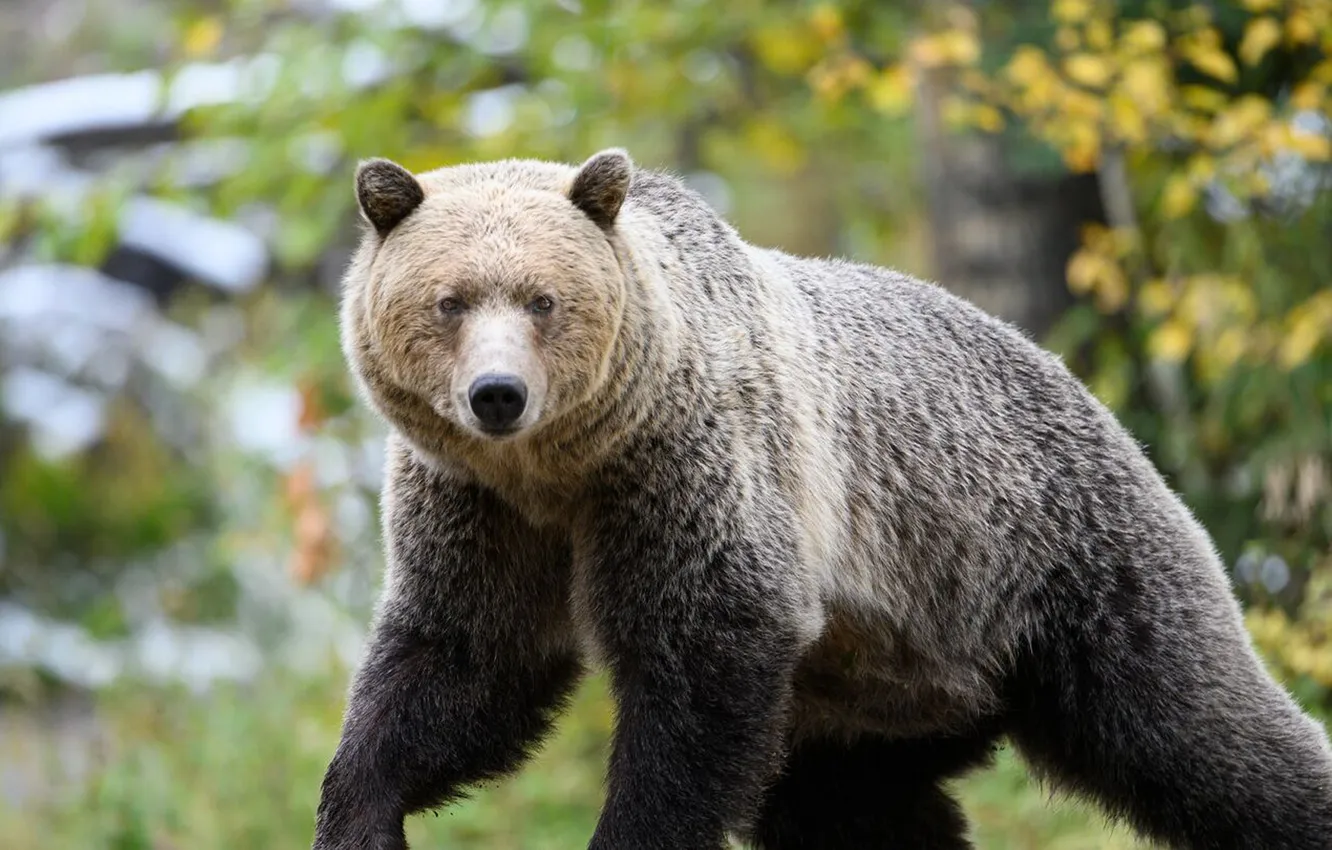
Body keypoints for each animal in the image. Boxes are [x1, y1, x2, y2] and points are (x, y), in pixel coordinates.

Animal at [312, 147, 1332, 850]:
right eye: (449, 300)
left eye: (542, 300)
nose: (498, 395)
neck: (563, 467)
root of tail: (1079, 383)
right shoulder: (479, 508)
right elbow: (462, 662)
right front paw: (363, 813)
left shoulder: (689, 468)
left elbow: (702, 657)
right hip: (876, 702)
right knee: (856, 815)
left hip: (1055, 562)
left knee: (1206, 734)